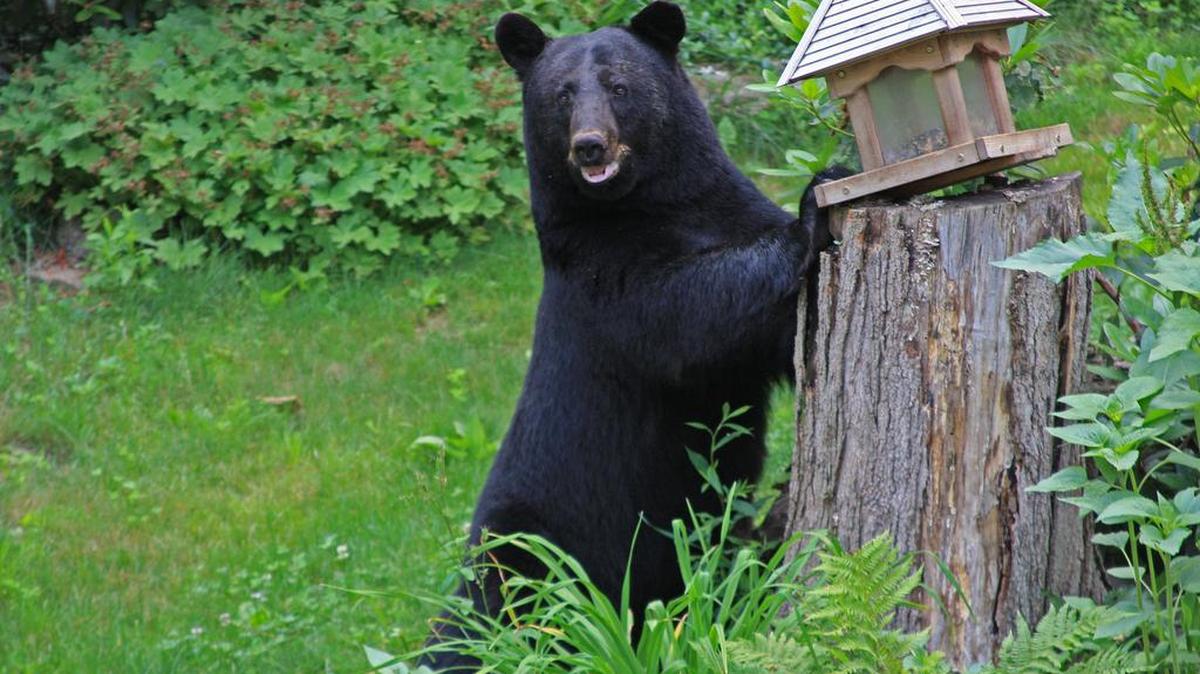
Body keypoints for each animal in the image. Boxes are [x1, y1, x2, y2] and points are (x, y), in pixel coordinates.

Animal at [421, 3, 843, 669]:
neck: (652, 204)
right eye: (562, 94)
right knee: (495, 612)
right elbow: (688, 319)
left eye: (619, 86)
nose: (589, 144)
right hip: (530, 544)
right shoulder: (598, 274)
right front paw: (813, 208)